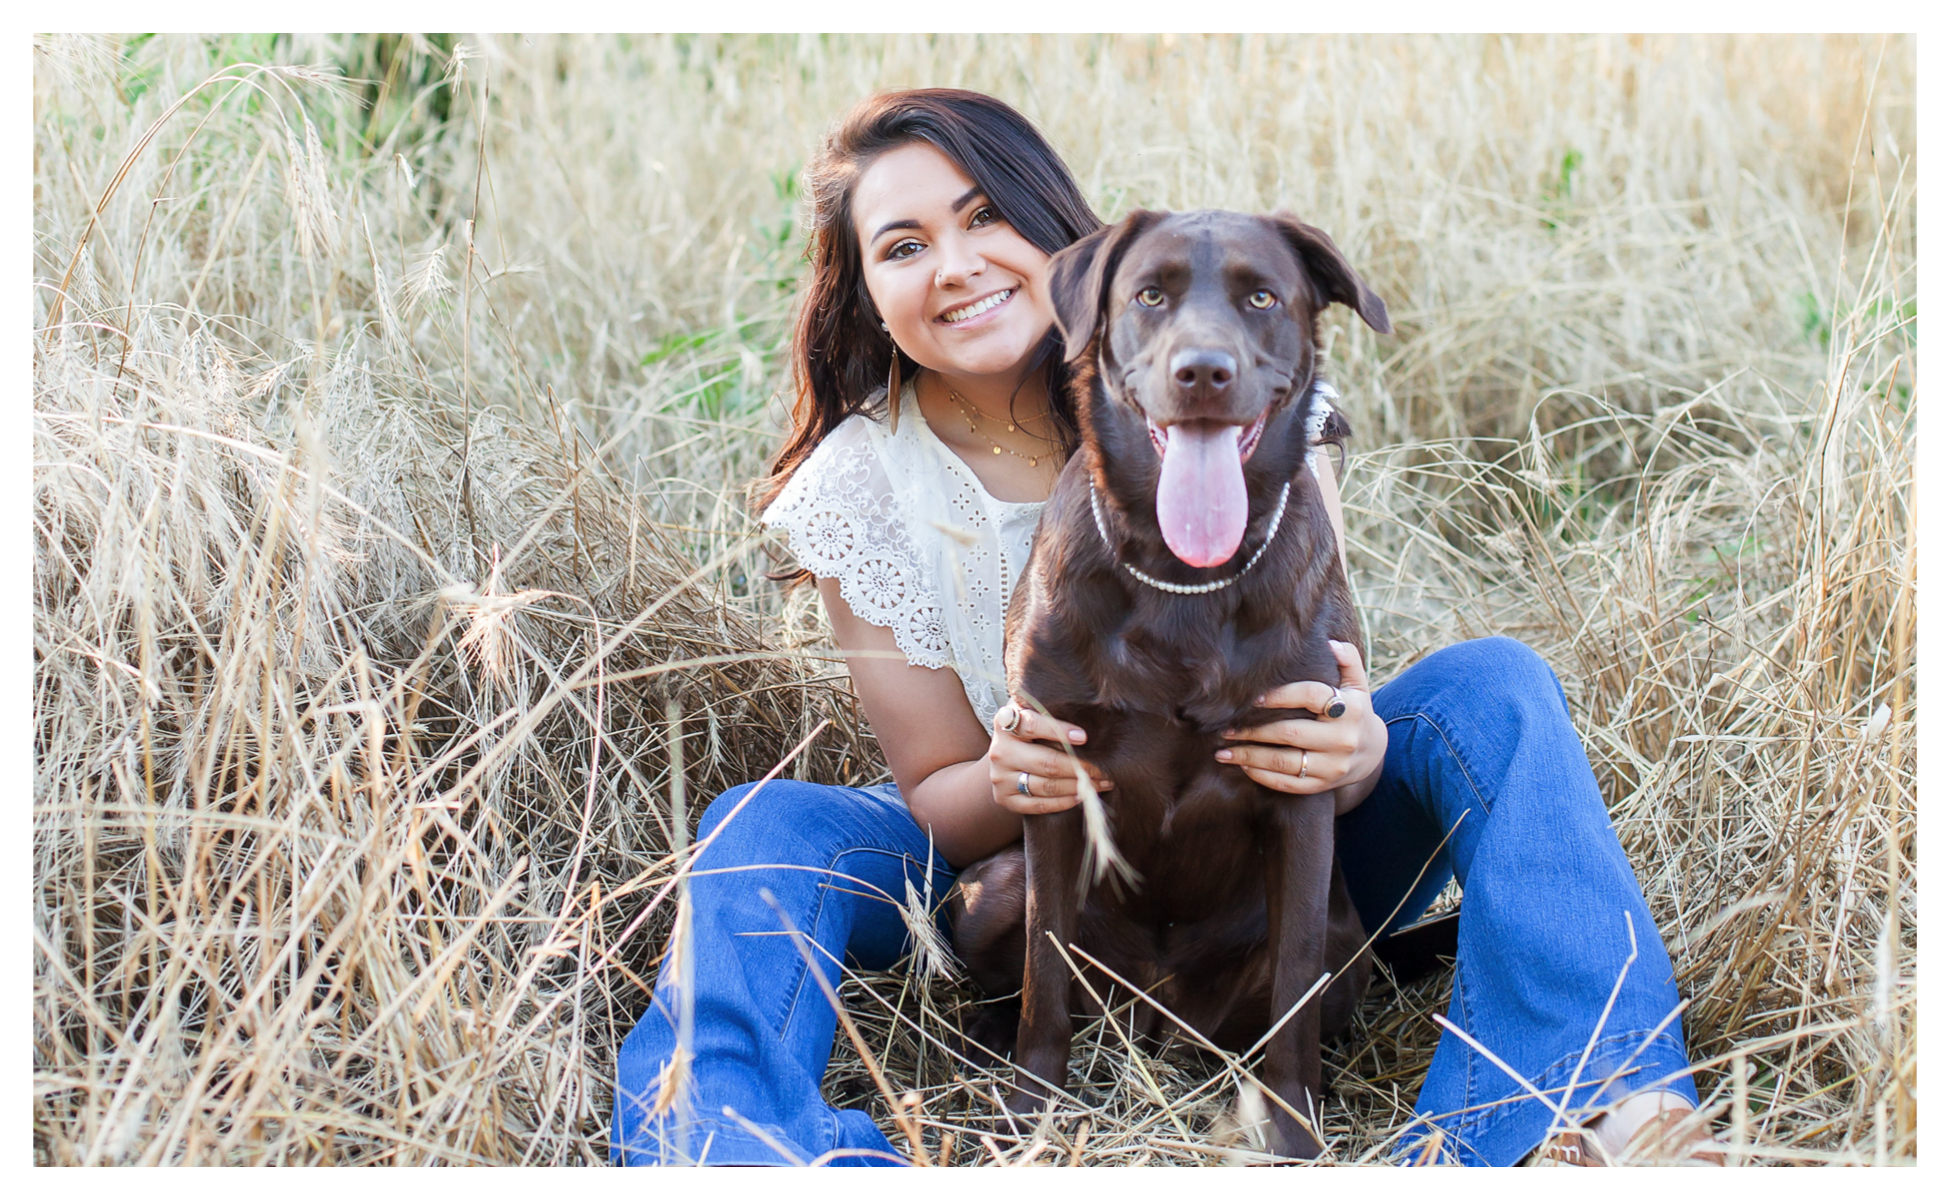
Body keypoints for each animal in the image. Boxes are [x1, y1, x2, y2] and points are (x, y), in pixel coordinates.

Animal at [951, 211, 1396, 1162]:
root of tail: (1156, 1012)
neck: (1184, 578)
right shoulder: (1052, 772)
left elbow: (1294, 983)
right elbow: (1045, 967)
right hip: (988, 893)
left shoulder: (1300, 778)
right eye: (1150, 294)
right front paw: (1033, 1109)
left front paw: (1291, 1133)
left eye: (1262, 297)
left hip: (1345, 942)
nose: (1202, 372)